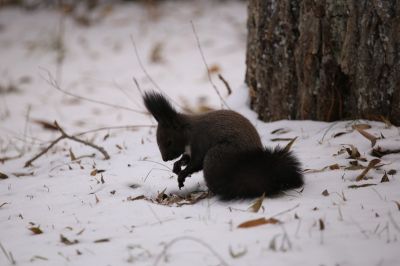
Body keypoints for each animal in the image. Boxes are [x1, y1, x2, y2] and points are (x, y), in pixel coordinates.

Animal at [144, 91, 304, 200]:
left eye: (169, 141)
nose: (165, 159)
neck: (188, 134)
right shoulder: (189, 151)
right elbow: (186, 159)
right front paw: (177, 166)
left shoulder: (200, 142)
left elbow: (196, 163)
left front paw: (182, 175)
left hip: (217, 155)